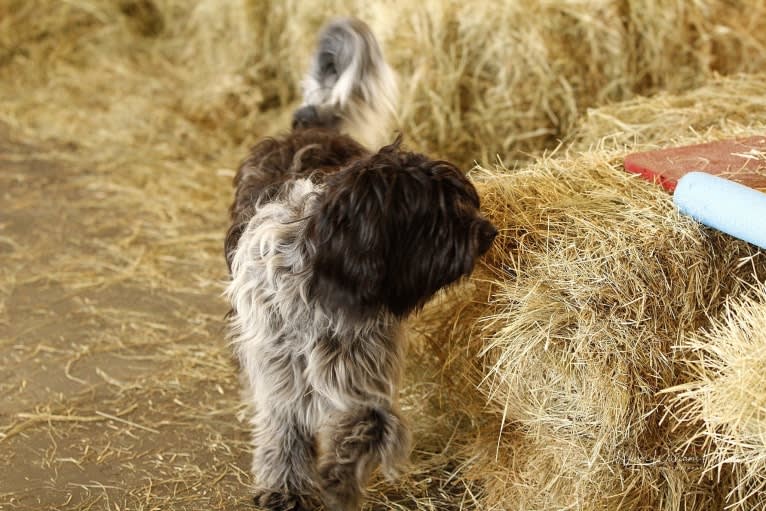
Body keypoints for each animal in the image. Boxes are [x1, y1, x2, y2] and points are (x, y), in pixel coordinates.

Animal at [224, 18, 498, 511]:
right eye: (433, 215)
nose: (488, 233)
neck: (325, 282)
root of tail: (311, 122)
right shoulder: (281, 371)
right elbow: (284, 430)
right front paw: (285, 487)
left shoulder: (360, 367)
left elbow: (369, 420)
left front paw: (342, 474)